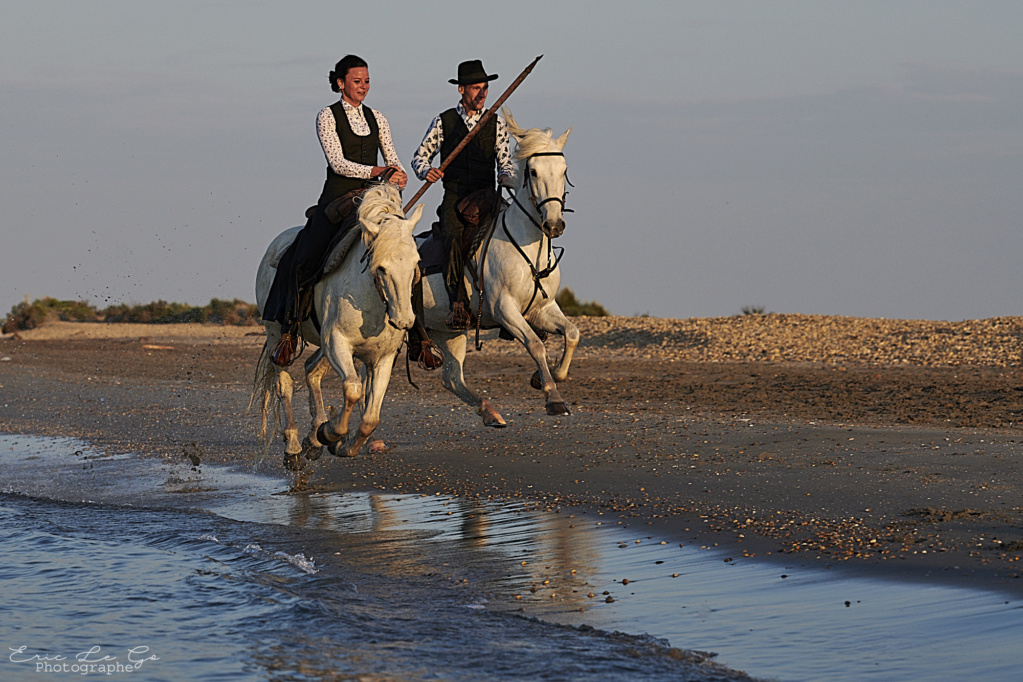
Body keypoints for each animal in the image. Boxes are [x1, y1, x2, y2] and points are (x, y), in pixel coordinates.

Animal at [254, 184, 423, 466]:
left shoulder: (383, 357)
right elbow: (353, 389)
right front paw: (331, 433)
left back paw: (312, 439)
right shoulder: (337, 343)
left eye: (416, 263)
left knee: (312, 371)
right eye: (381, 268)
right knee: (284, 385)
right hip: (276, 334)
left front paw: (343, 445)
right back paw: (294, 447)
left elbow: (370, 417)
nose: (403, 321)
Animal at [415, 109, 576, 423]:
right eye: (533, 171)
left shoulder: (542, 308)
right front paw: (553, 396)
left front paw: (547, 377)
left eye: (563, 170)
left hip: (446, 330)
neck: (529, 248)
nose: (554, 225)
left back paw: (490, 413)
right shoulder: (505, 309)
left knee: (452, 378)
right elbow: (535, 345)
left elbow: (572, 333)